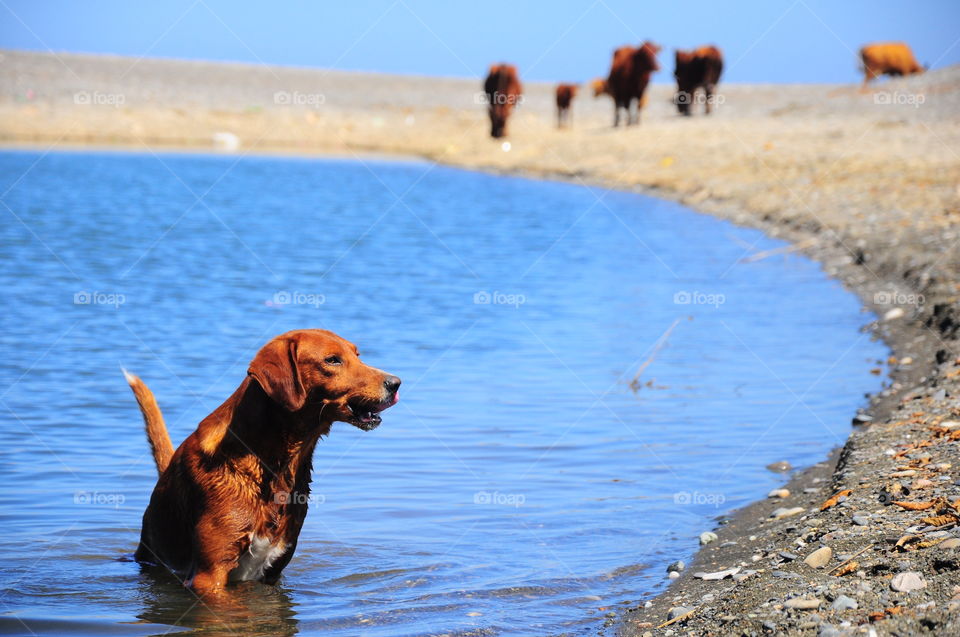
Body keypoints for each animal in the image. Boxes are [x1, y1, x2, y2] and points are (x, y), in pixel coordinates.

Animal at [125, 330, 400, 592]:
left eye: (358, 355)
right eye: (332, 360)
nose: (396, 383)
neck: (274, 466)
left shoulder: (274, 569)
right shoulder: (209, 575)